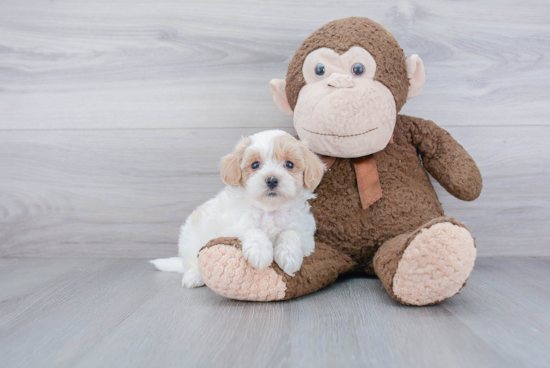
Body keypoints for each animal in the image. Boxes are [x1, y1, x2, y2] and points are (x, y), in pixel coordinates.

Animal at [150, 131, 328, 288]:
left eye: (289, 164)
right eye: (255, 165)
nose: (272, 179)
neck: (270, 210)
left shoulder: (305, 233)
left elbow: (291, 233)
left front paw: (289, 256)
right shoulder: (232, 226)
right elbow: (253, 230)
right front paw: (260, 252)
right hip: (190, 240)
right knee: (192, 262)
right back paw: (194, 277)